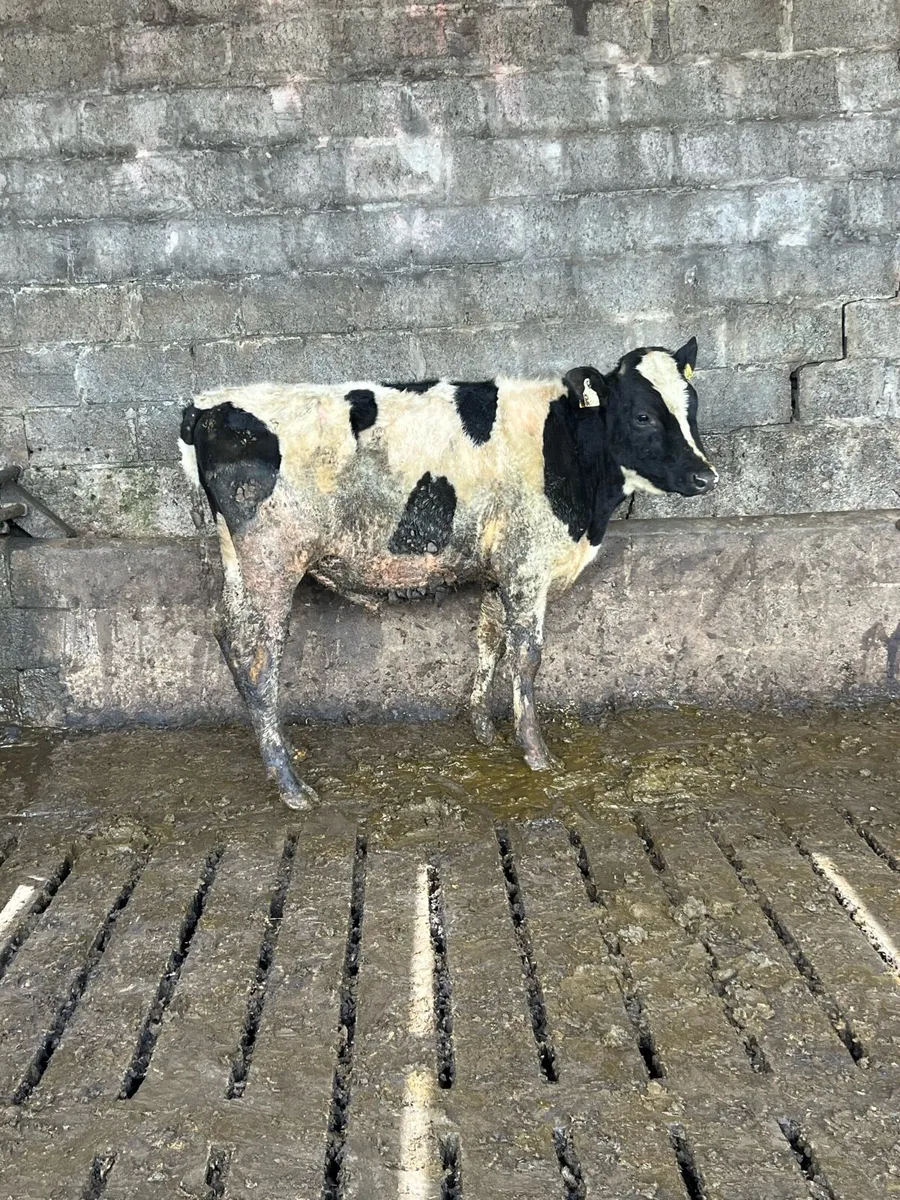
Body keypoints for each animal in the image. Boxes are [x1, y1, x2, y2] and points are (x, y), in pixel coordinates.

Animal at [179, 338, 717, 809]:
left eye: (692, 409)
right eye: (644, 415)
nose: (705, 476)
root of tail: (207, 407)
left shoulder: (499, 569)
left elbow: (489, 641)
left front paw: (484, 730)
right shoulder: (527, 565)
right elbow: (526, 658)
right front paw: (536, 754)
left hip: (241, 562)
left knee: (226, 633)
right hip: (271, 561)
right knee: (258, 658)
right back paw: (291, 785)